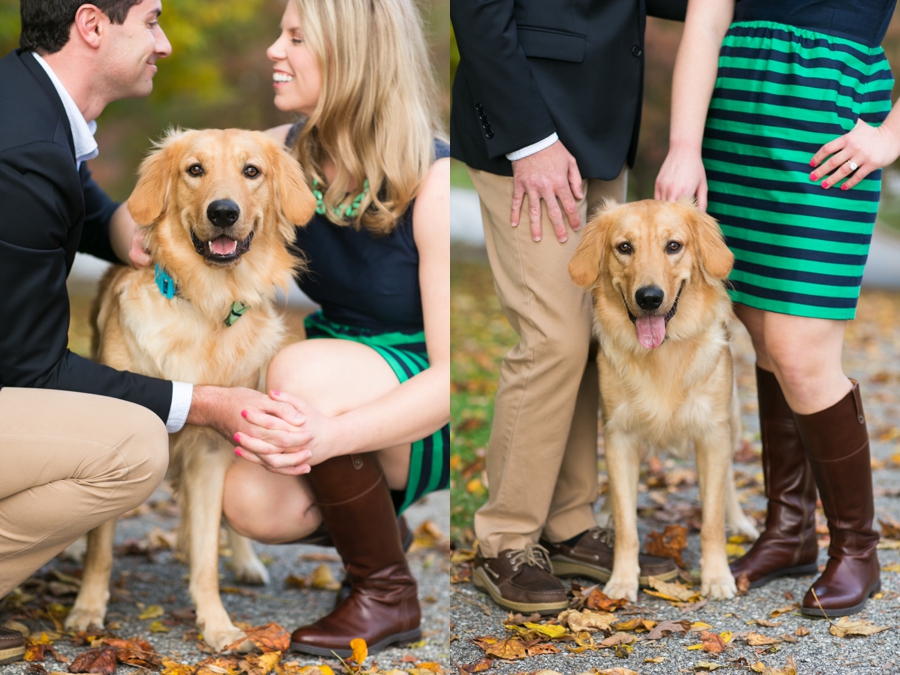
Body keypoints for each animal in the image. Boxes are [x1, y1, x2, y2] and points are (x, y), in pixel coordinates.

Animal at [65, 129, 314, 652]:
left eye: (252, 171)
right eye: (194, 170)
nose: (223, 212)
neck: (207, 303)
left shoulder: (212, 452)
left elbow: (205, 555)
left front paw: (218, 625)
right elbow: (102, 548)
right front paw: (87, 610)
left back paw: (247, 561)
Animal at [568, 199, 760, 604]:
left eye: (674, 246)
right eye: (625, 247)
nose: (649, 298)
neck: (663, 354)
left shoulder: (712, 434)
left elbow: (712, 519)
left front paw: (717, 577)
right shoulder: (620, 436)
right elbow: (627, 522)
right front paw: (622, 580)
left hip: (732, 422)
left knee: (729, 484)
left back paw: (740, 521)